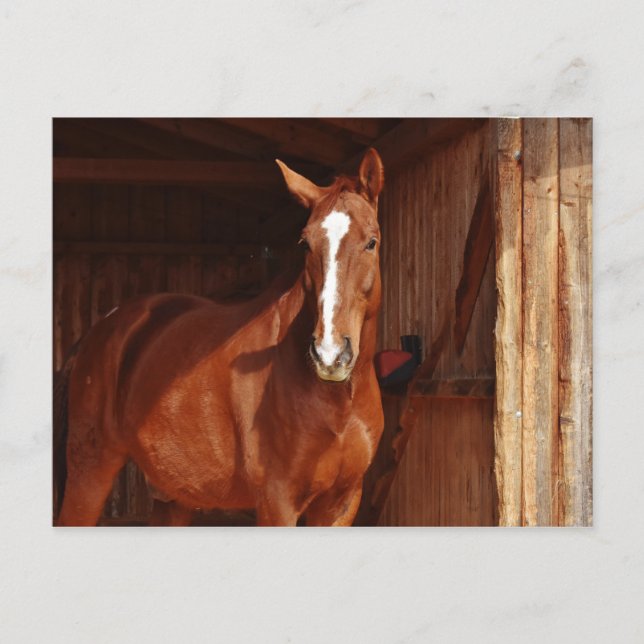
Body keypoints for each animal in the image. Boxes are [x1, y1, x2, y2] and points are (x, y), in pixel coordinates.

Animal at [54, 148, 385, 527]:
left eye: (371, 242)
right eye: (305, 243)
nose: (329, 354)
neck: (336, 402)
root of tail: (98, 331)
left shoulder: (341, 503)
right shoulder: (277, 502)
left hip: (172, 497)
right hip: (89, 474)